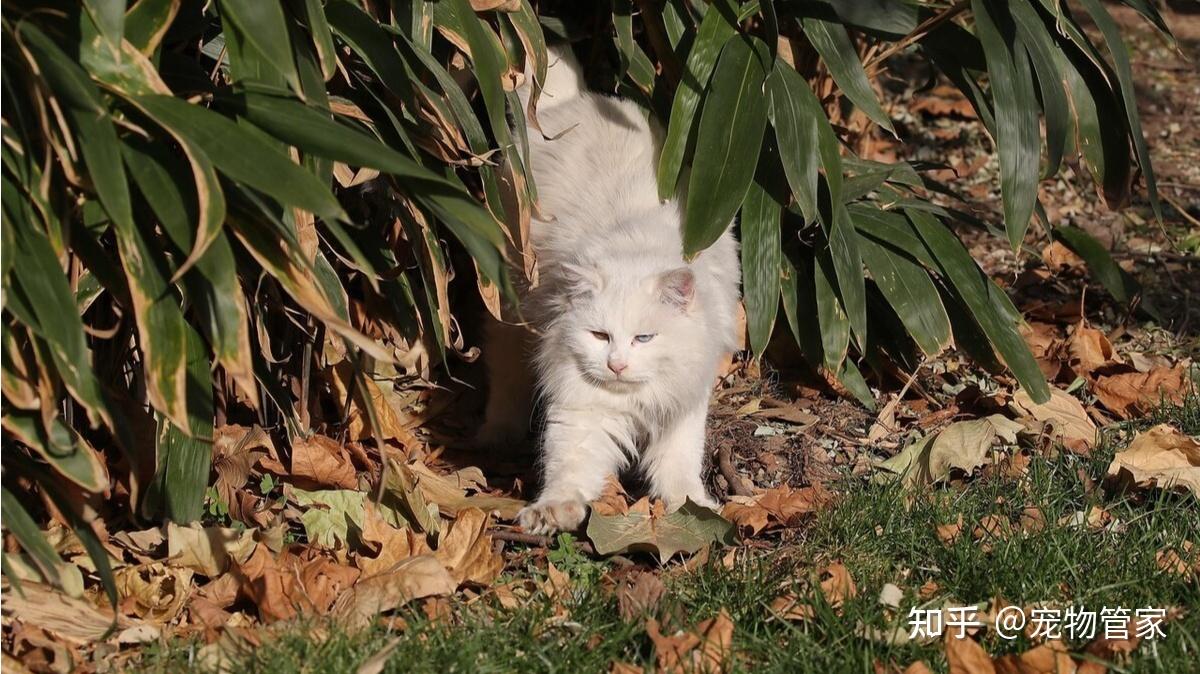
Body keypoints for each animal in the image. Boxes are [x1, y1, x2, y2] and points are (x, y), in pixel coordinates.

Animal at [477, 44, 739, 532]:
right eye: (600, 336)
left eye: (644, 338)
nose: (616, 365)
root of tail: (567, 105)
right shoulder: (582, 408)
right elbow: (569, 467)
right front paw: (551, 513)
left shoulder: (682, 400)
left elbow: (679, 463)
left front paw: (693, 506)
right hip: (509, 306)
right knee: (504, 374)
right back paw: (497, 436)